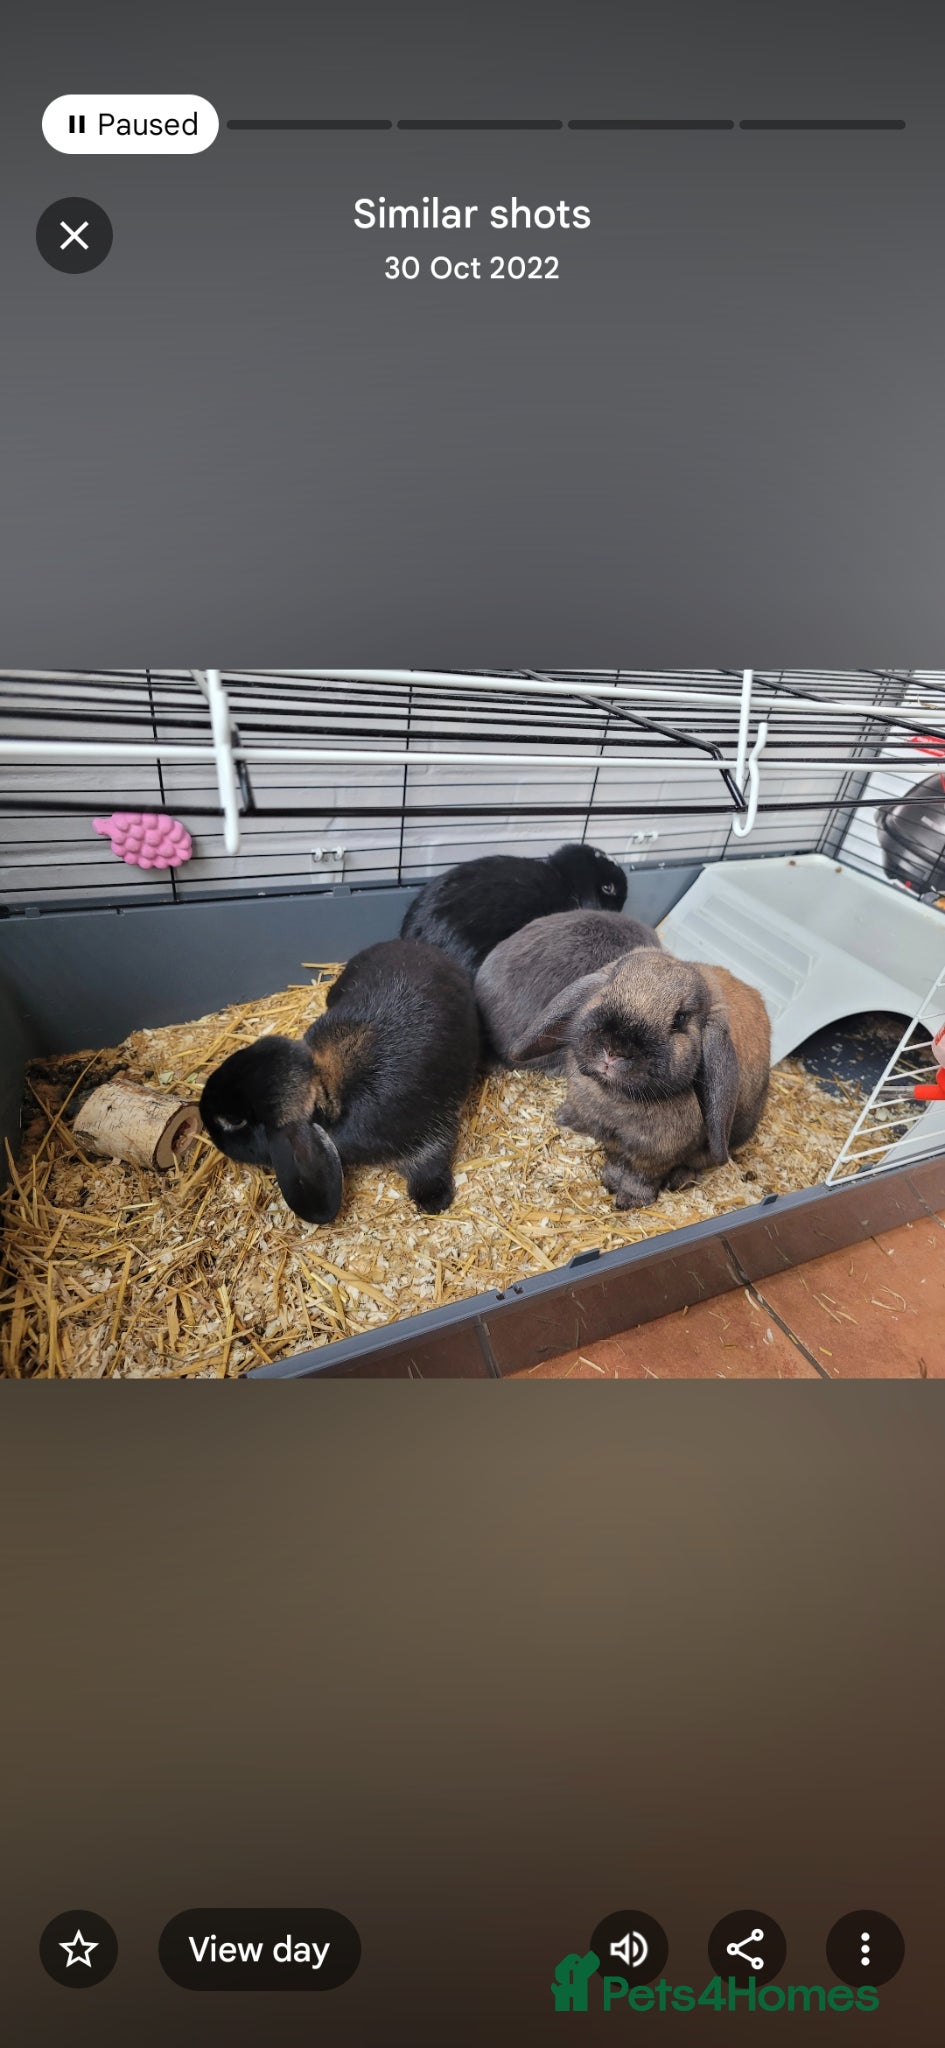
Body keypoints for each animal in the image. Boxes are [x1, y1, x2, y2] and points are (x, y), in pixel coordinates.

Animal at [199, 939, 480, 1224]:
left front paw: (433, 1200)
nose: (210, 1133)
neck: (323, 1083)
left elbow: (430, 1162)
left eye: (234, 1121)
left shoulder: (425, 1132)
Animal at [509, 947, 771, 1210]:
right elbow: (617, 1160)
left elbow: (641, 1176)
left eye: (680, 1019)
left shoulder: (656, 1155)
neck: (615, 1098)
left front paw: (629, 1200)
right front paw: (610, 1179)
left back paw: (681, 1179)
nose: (613, 1050)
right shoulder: (613, 1140)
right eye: (609, 987)